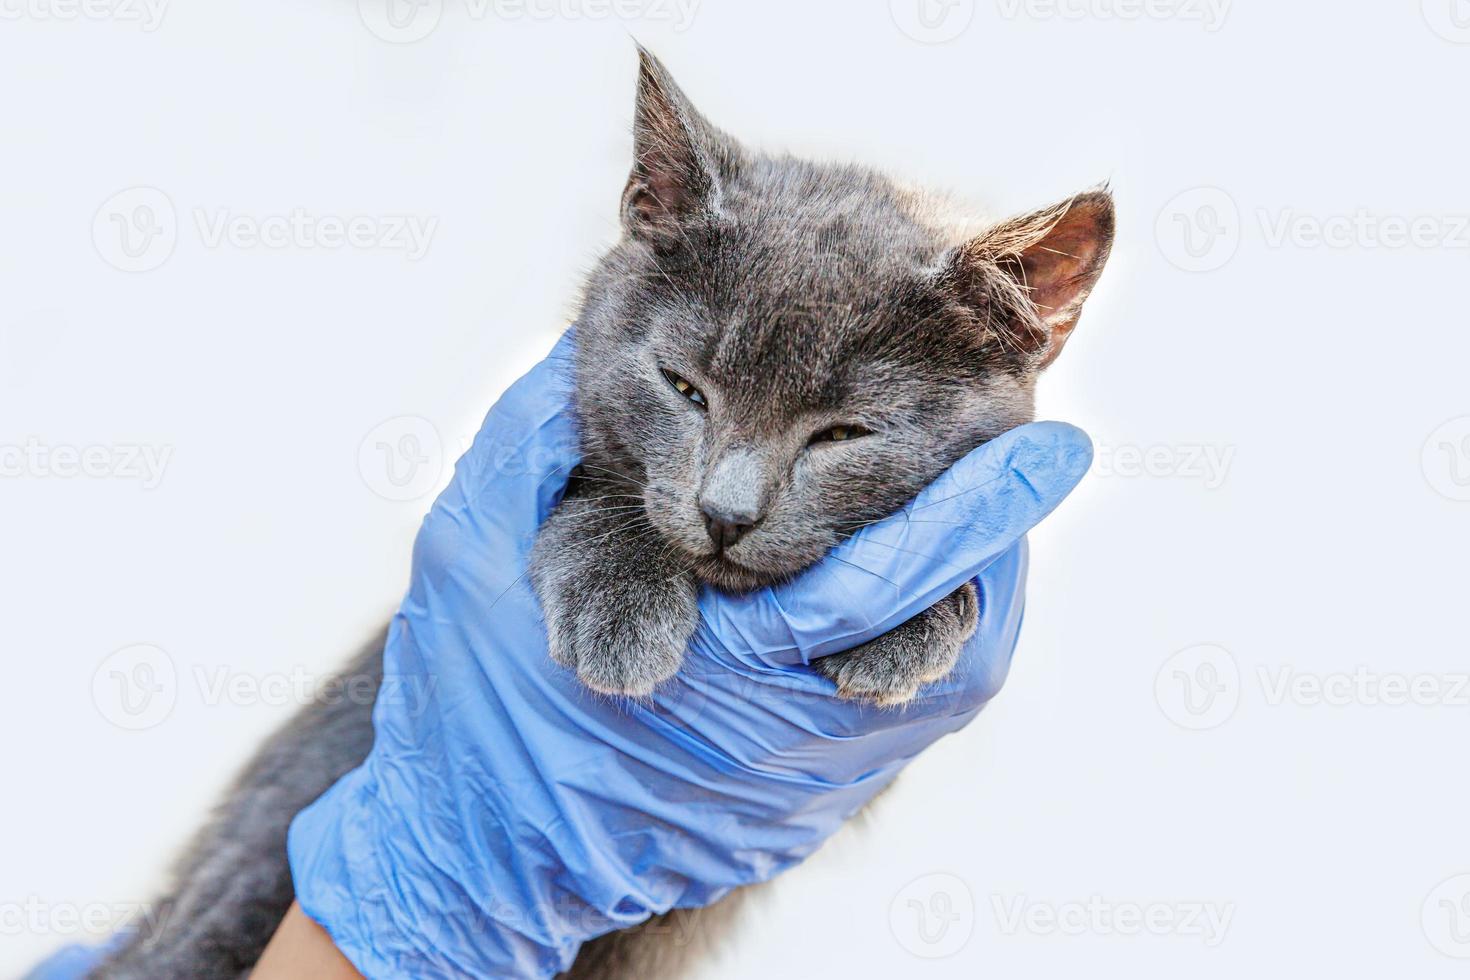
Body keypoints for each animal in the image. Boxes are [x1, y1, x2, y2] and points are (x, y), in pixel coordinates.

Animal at [85, 49, 1105, 980]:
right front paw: (622, 610)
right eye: (683, 387)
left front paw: (915, 621)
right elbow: (603, 491)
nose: (725, 511)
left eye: (843, 433)